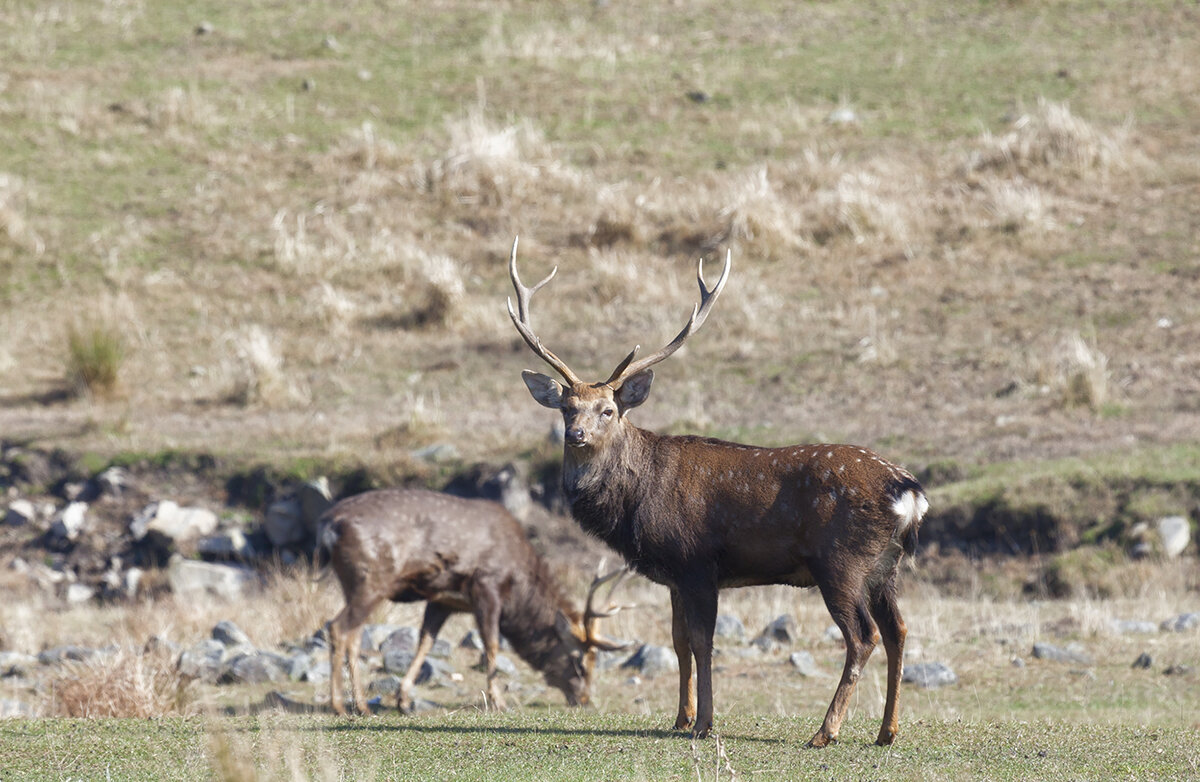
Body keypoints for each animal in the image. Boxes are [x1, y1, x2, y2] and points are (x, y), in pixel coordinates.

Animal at [324, 489, 633, 714]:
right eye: (580, 661)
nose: (584, 699)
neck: (517, 582)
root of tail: (330, 524)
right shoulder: (487, 585)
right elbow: (492, 643)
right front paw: (499, 701)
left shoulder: (443, 599)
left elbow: (426, 642)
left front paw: (403, 699)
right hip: (371, 580)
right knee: (337, 627)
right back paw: (340, 705)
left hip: (353, 584)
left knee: (353, 634)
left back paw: (360, 705)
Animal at [506, 236, 926, 743]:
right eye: (567, 408)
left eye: (608, 409)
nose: (576, 435)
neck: (635, 504)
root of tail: (909, 492)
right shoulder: (672, 574)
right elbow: (678, 641)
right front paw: (680, 717)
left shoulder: (697, 561)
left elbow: (704, 643)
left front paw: (705, 723)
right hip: (886, 566)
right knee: (899, 630)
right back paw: (887, 731)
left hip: (841, 561)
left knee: (864, 636)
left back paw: (825, 732)